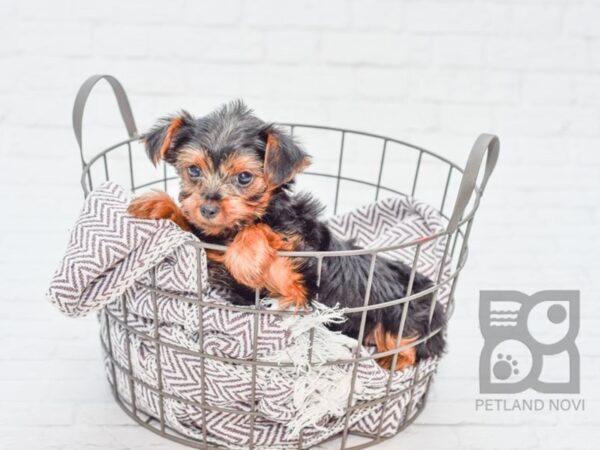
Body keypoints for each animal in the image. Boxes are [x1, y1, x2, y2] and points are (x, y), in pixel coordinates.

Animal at [127, 102, 446, 370]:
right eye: (193, 170)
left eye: (244, 177)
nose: (207, 208)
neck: (230, 232)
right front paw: (159, 205)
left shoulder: (296, 289)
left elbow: (263, 237)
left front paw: (245, 257)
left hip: (400, 316)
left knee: (409, 343)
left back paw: (388, 362)